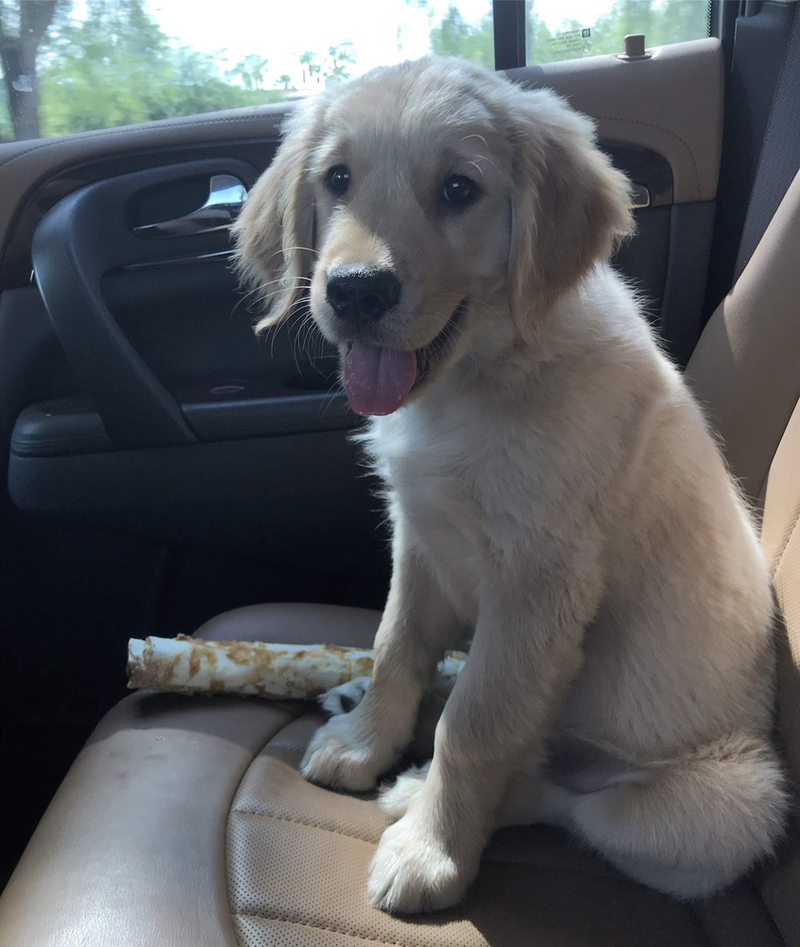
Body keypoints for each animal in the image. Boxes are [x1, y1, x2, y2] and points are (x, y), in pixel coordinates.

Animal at [233, 55, 788, 916]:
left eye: (460, 189)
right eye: (337, 178)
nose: (355, 289)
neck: (477, 379)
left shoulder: (538, 586)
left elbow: (476, 725)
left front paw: (431, 851)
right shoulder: (420, 538)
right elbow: (396, 645)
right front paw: (367, 741)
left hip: (725, 808)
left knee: (560, 799)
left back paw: (419, 798)